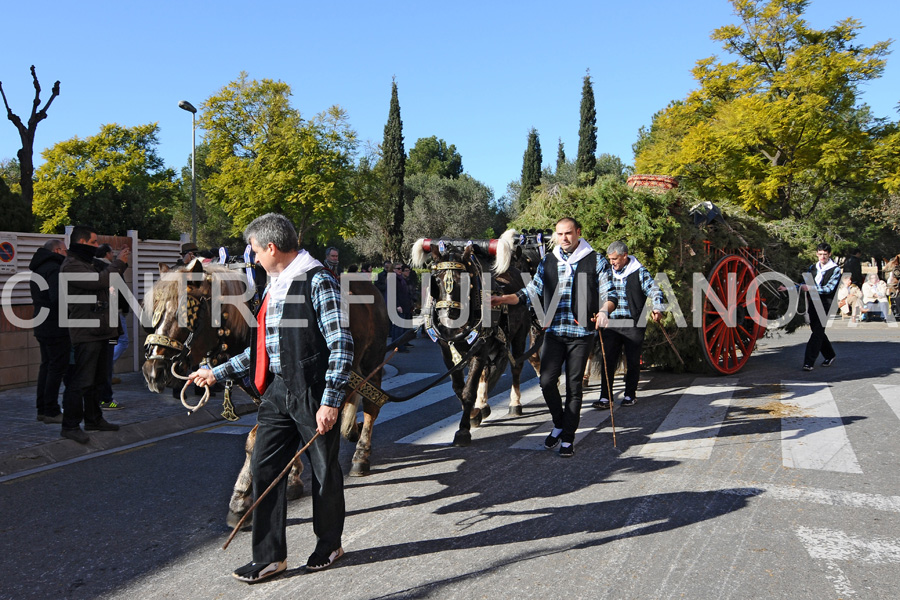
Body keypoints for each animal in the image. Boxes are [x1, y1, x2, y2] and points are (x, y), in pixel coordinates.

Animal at [414, 234, 536, 446]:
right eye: (436, 279)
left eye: (464, 281)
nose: (446, 318)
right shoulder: (447, 353)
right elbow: (458, 388)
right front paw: (474, 413)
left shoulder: (480, 350)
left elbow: (469, 389)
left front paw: (463, 429)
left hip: (520, 335)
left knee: (516, 367)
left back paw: (515, 403)